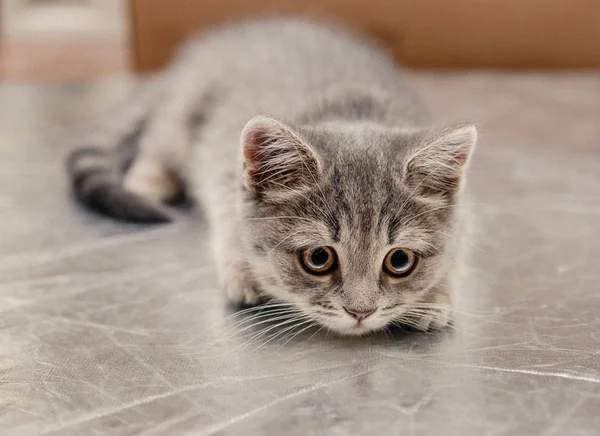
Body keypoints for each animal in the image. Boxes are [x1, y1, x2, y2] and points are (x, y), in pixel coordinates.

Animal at [67, 18, 478, 336]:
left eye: (400, 261)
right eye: (318, 258)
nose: (360, 313)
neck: (352, 111)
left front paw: (436, 294)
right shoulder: (222, 168)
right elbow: (228, 221)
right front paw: (243, 269)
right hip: (184, 114)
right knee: (157, 140)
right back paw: (149, 181)